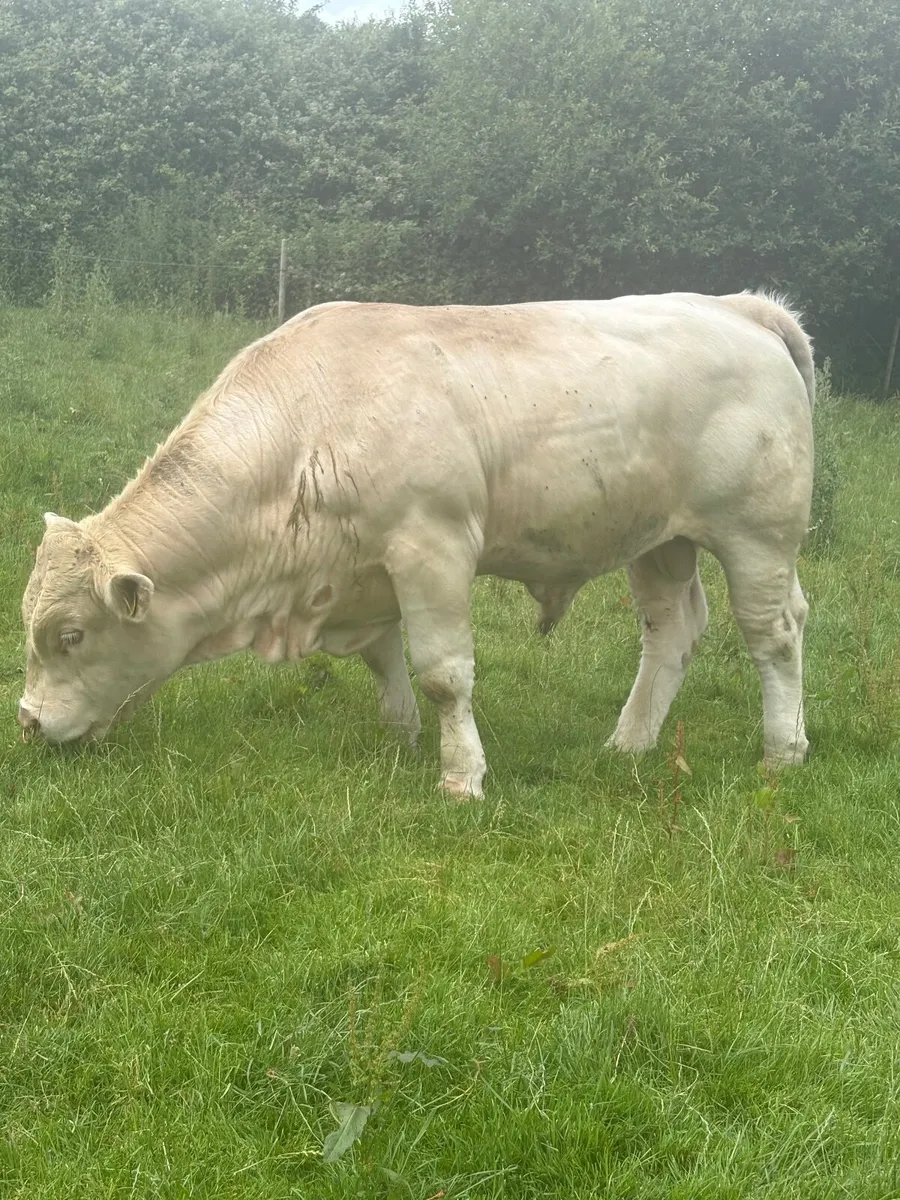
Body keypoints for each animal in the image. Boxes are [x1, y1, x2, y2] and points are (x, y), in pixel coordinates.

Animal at [19, 292, 814, 796]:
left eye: (71, 636)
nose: (27, 721)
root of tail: (738, 306)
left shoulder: (431, 549)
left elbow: (444, 674)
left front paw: (461, 775)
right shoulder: (364, 570)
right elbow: (382, 656)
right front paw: (399, 733)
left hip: (758, 535)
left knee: (773, 633)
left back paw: (782, 751)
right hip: (660, 541)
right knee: (672, 629)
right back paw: (631, 742)